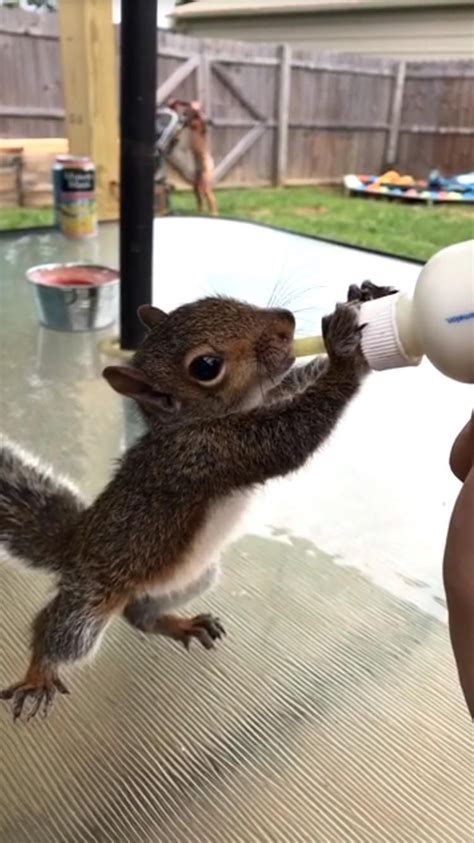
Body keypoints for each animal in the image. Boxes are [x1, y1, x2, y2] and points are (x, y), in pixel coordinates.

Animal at [0, 282, 392, 720]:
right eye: (206, 367)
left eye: (218, 300)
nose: (286, 321)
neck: (191, 420)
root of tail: (74, 542)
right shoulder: (205, 454)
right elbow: (292, 435)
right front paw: (346, 353)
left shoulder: (263, 400)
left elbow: (297, 379)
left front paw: (363, 298)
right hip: (90, 596)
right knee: (58, 630)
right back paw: (38, 674)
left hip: (190, 576)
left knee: (138, 614)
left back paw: (179, 624)